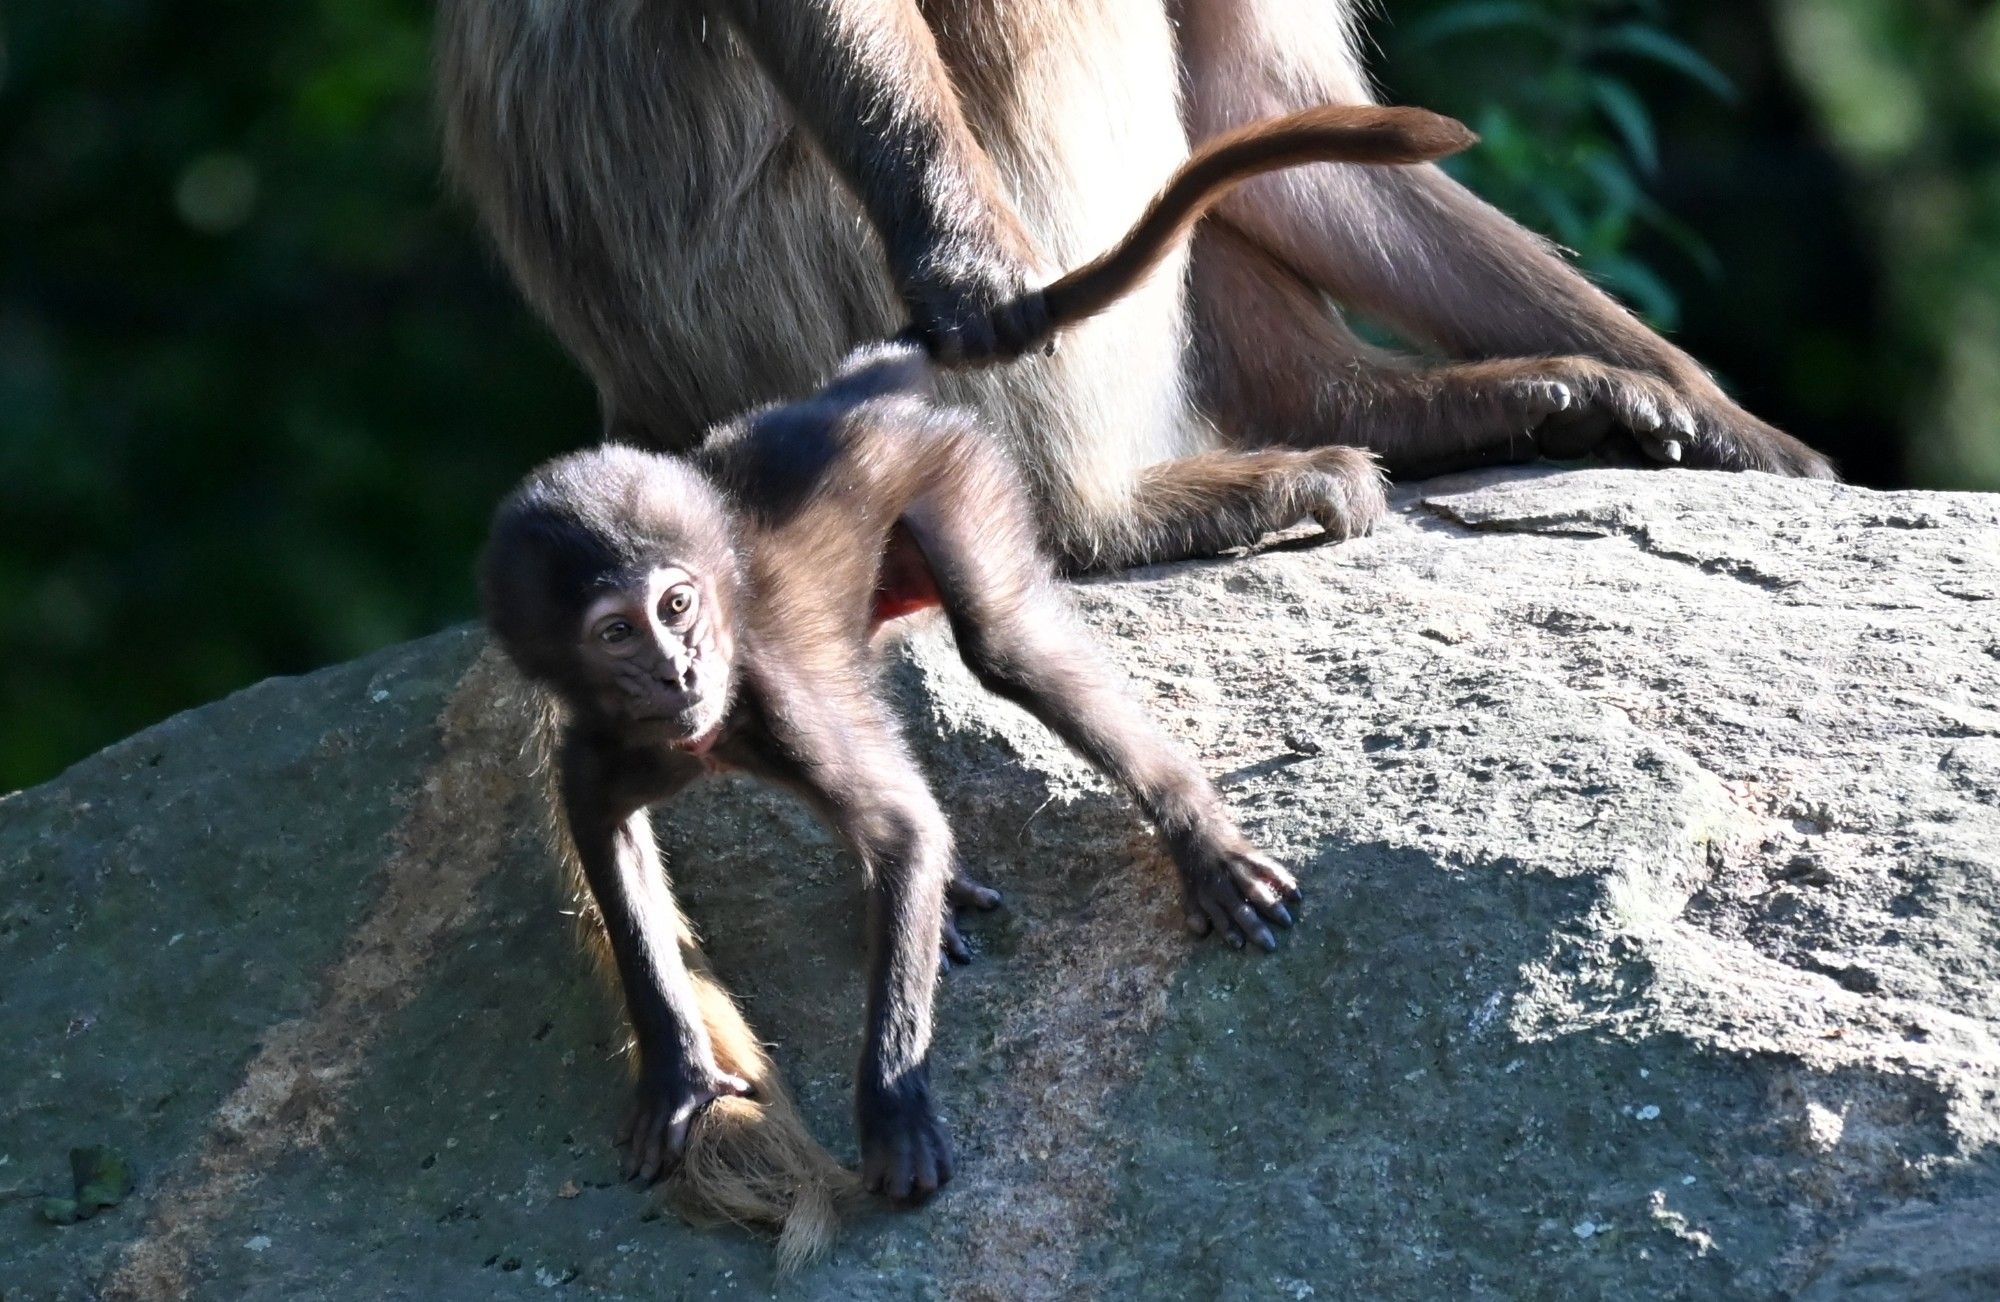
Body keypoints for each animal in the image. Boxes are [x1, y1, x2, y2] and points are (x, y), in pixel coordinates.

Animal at [434, 0, 1832, 580]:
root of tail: (643, 405)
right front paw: (971, 263)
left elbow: (1259, 103)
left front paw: (1727, 423)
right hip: (746, 281)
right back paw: (1092, 514)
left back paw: (1382, 406)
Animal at [480, 102, 1472, 1200]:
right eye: (617, 633)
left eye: (678, 604)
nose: (679, 672)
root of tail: (842, 392)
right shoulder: (590, 742)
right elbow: (610, 848)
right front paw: (676, 1071)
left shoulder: (775, 695)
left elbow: (903, 829)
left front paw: (894, 1105)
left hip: (952, 472)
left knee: (1001, 643)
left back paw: (1194, 834)